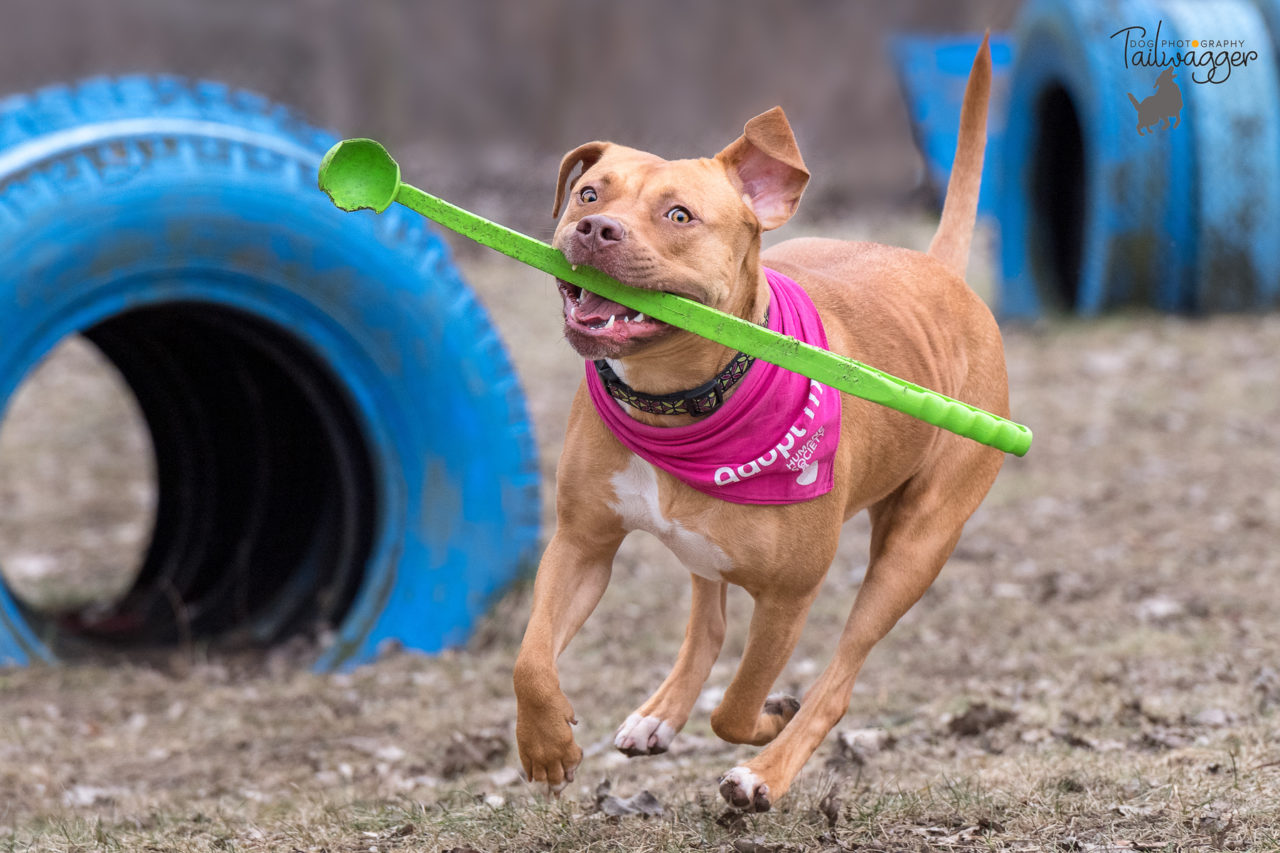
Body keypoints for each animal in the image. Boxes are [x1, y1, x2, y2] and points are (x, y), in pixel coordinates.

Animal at [514, 38, 1003, 809]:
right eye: (590, 195)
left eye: (679, 216)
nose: (593, 228)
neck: (679, 402)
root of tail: (940, 271)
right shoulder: (581, 543)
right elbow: (532, 657)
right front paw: (546, 744)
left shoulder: (788, 597)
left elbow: (739, 704)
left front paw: (769, 722)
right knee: (709, 619)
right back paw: (659, 716)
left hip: (914, 550)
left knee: (839, 676)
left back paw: (765, 770)